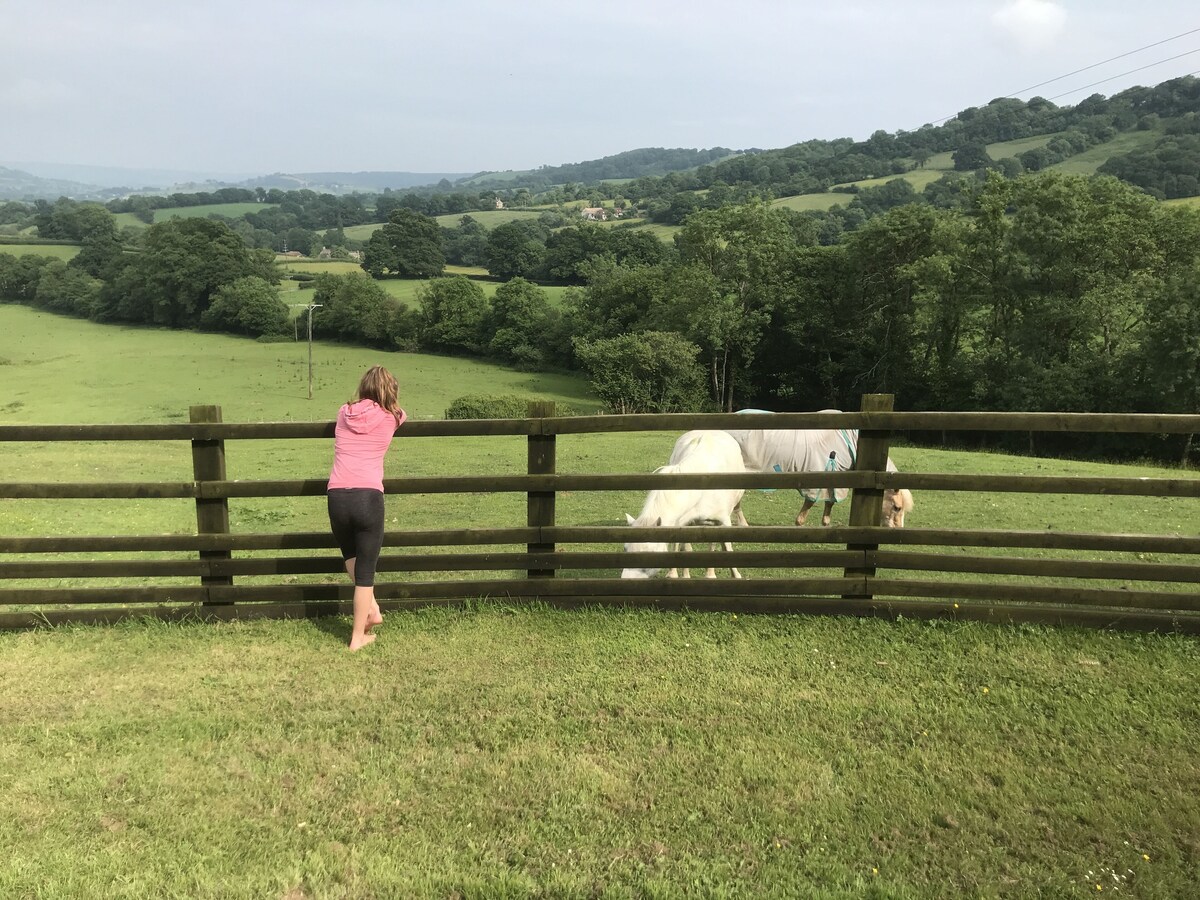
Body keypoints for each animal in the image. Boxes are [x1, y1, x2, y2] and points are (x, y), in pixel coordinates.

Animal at [624, 432, 744, 585]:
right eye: (625, 548)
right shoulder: (683, 522)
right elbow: (684, 548)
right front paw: (678, 575)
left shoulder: (723, 522)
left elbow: (726, 548)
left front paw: (736, 575)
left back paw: (710, 574)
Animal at [724, 415, 912, 528]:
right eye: (897, 507)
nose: (898, 529)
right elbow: (811, 502)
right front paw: (800, 523)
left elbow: (830, 501)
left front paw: (826, 523)